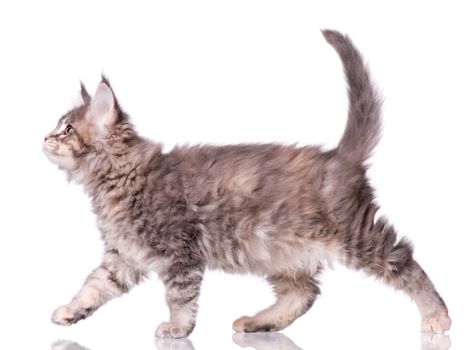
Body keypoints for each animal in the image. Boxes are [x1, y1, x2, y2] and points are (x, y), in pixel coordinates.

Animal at [42, 30, 450, 340]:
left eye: (67, 129)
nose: (44, 137)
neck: (120, 180)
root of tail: (339, 156)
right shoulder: (122, 257)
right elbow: (94, 285)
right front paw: (71, 310)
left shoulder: (180, 252)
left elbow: (180, 297)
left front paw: (177, 328)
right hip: (277, 248)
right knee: (304, 293)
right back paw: (258, 322)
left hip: (355, 234)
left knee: (405, 261)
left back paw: (437, 315)